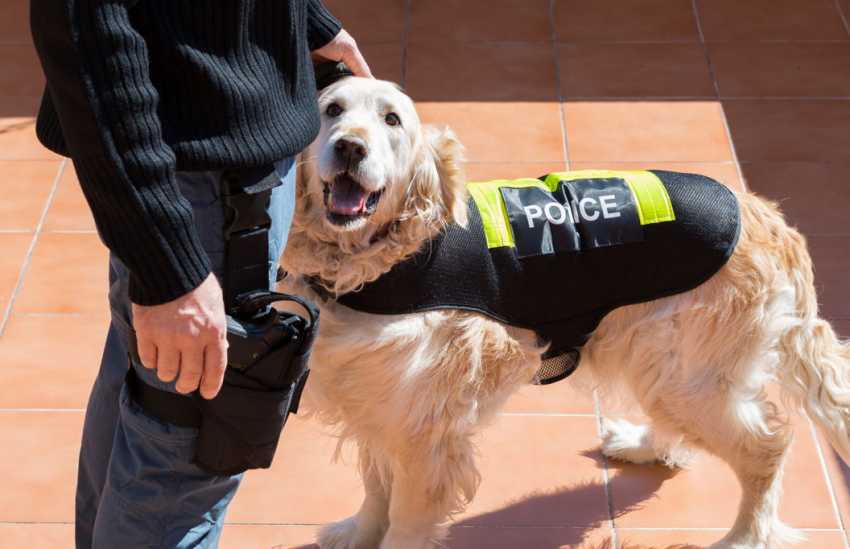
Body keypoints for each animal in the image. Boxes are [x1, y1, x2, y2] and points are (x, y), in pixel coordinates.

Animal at [282, 78, 848, 548]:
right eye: (332, 110)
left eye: (392, 120)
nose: (350, 146)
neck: (388, 261)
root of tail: (770, 220)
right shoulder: (378, 402)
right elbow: (375, 488)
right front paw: (357, 531)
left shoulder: (426, 432)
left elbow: (403, 520)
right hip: (661, 360)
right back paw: (643, 444)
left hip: (691, 373)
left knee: (765, 448)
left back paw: (744, 538)